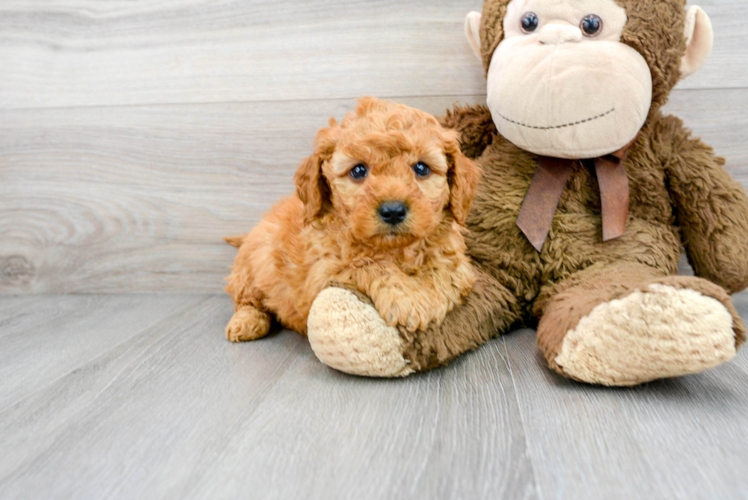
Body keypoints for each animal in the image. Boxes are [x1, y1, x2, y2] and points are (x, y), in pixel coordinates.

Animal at [224, 95, 480, 342]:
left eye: (421, 168)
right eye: (358, 171)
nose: (393, 210)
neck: (394, 250)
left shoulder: (456, 261)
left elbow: (445, 269)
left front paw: (426, 297)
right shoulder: (323, 272)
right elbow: (366, 264)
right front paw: (408, 299)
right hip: (251, 267)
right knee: (245, 299)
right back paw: (246, 322)